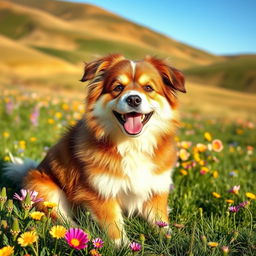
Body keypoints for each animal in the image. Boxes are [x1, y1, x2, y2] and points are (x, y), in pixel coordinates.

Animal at [5, 54, 186, 246]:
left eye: (148, 88)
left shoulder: (156, 186)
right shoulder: (100, 191)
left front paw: (171, 239)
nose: (134, 99)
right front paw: (124, 246)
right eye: (118, 87)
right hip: (43, 188)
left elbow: (161, 221)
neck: (131, 144)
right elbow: (114, 226)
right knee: (61, 218)